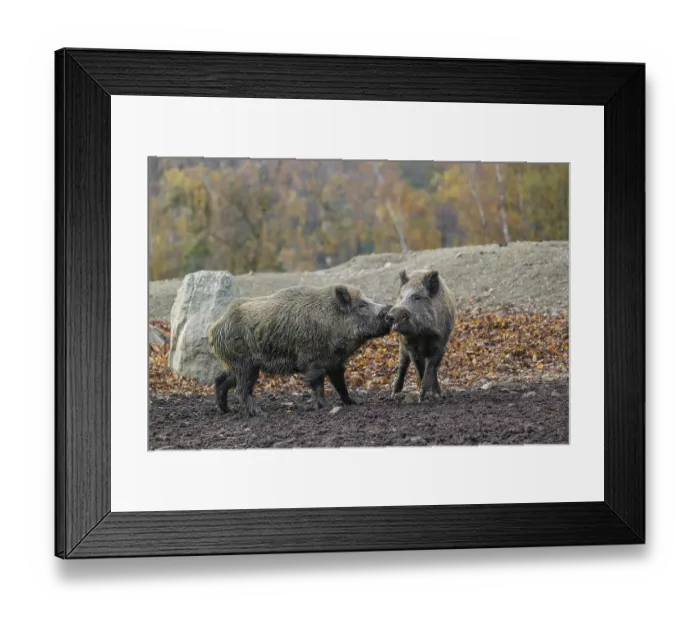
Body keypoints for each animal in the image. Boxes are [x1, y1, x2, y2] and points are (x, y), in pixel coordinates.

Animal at [208, 283, 393, 416]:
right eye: (361, 305)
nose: (389, 309)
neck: (332, 323)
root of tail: (215, 327)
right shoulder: (312, 361)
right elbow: (317, 384)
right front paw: (324, 407)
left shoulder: (335, 363)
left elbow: (341, 385)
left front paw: (355, 403)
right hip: (245, 364)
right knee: (241, 389)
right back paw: (259, 413)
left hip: (235, 365)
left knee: (221, 379)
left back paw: (227, 410)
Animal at [386, 269, 456, 402]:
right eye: (402, 296)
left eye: (417, 297)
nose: (389, 315)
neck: (423, 334)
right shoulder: (411, 346)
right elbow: (420, 369)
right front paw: (422, 398)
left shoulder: (441, 344)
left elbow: (431, 369)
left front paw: (434, 396)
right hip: (401, 346)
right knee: (402, 366)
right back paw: (393, 395)